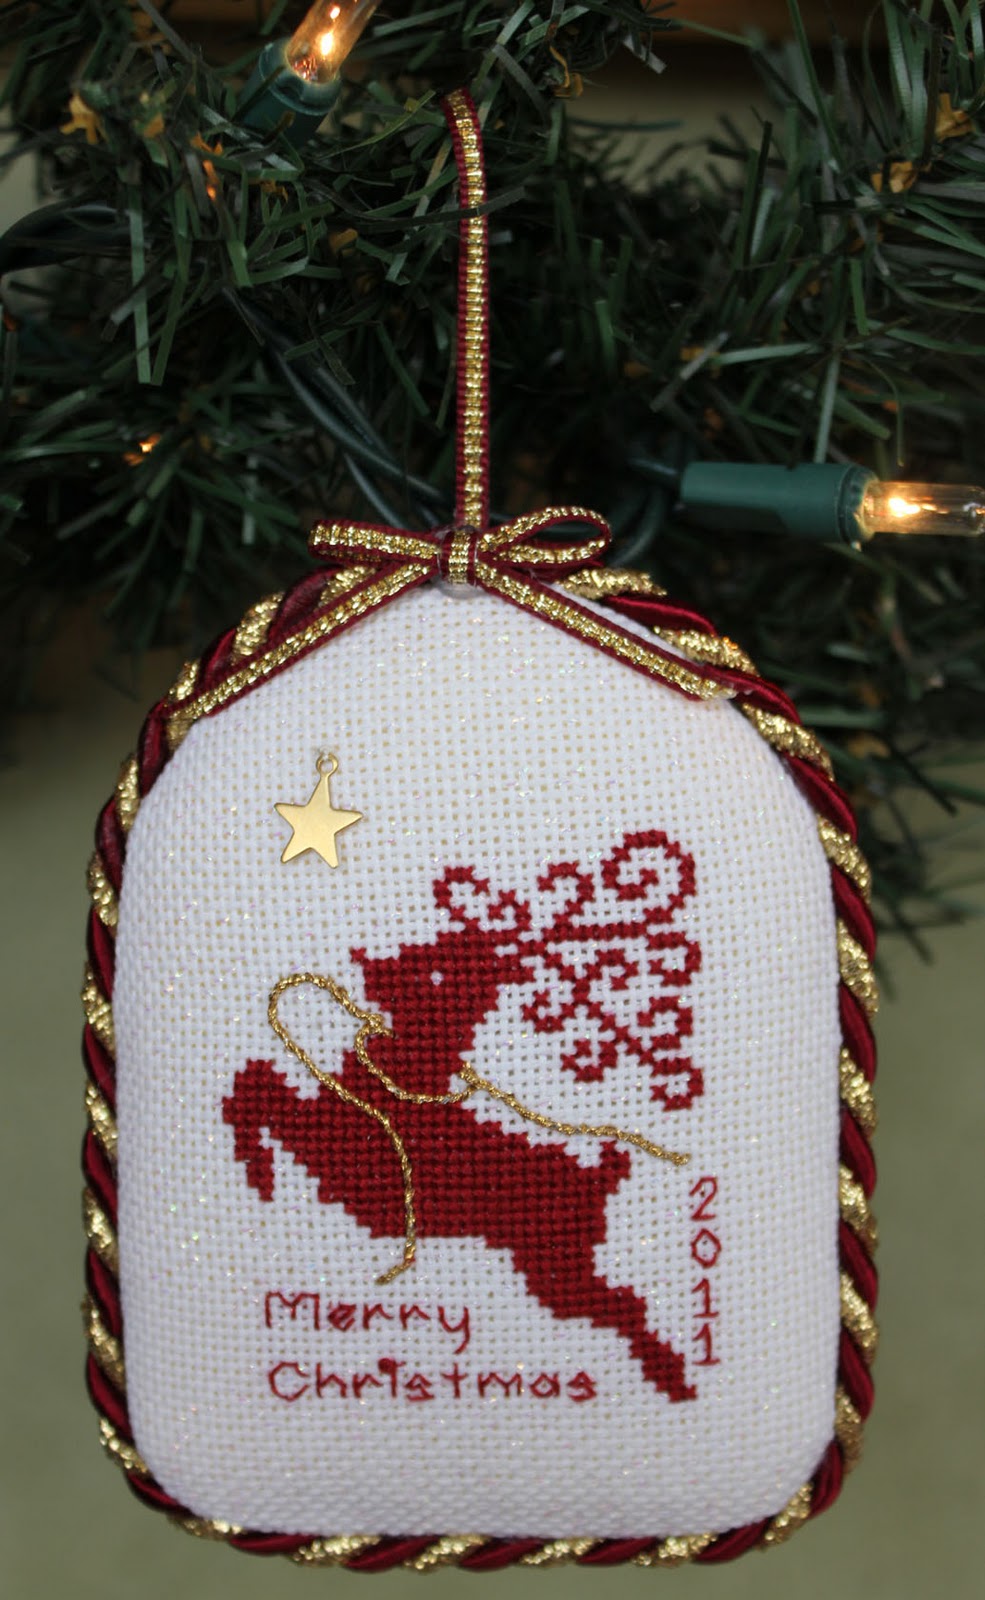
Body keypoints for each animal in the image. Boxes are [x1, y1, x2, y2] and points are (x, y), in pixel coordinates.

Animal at [224, 830, 703, 1403]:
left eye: (436, 970)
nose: (371, 960)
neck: (403, 1080)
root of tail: (597, 1176)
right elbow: (256, 1082)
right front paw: (257, 1168)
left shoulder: (338, 1155)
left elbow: (259, 1088)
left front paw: (259, 1170)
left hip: (554, 1270)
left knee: (622, 1305)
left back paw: (671, 1375)